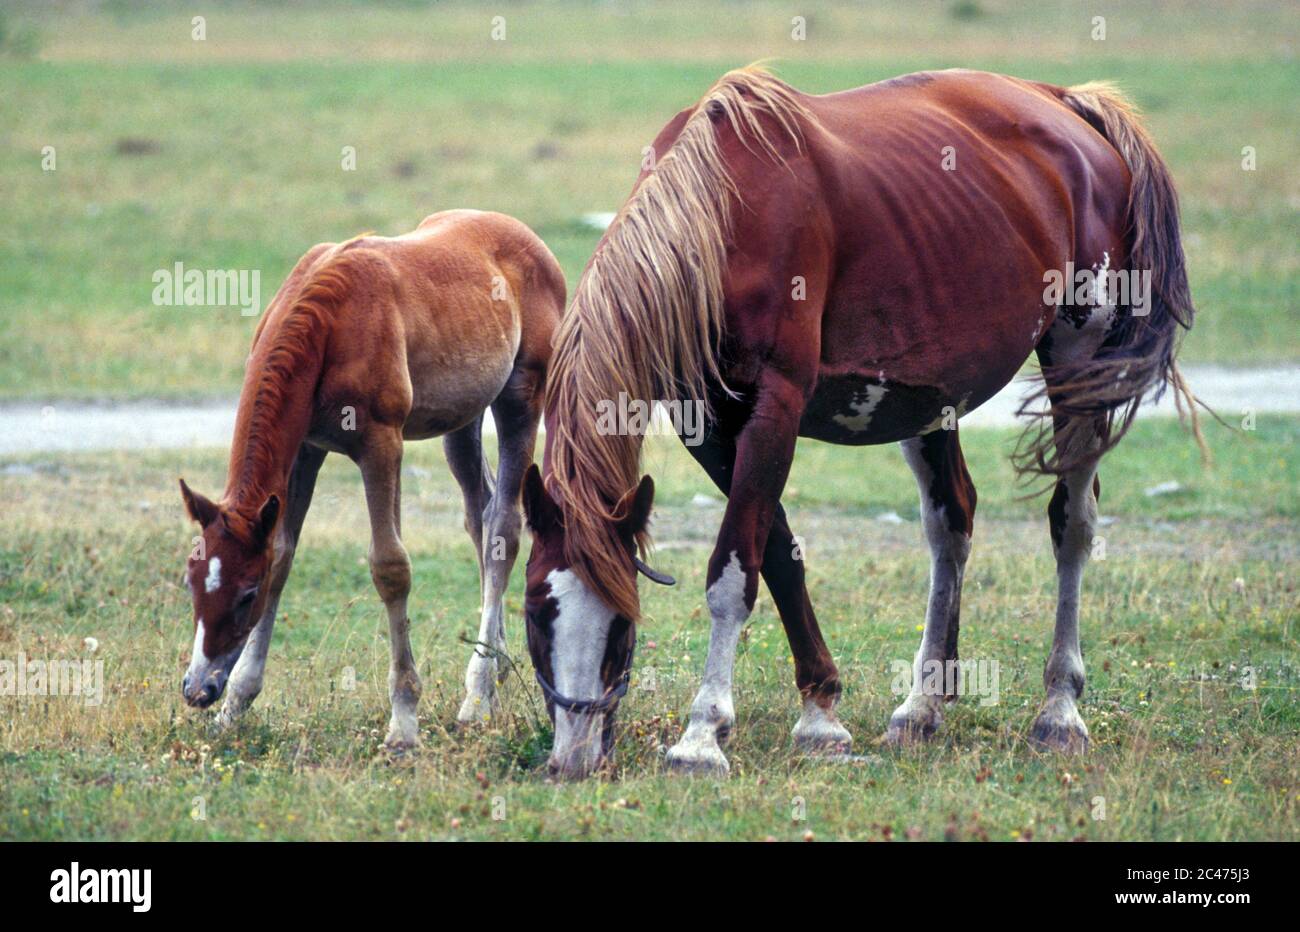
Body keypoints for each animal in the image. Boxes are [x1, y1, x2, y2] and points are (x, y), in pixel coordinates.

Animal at [178, 209, 564, 748]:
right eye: (191, 582)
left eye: (246, 595)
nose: (198, 689)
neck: (327, 319)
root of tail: (529, 238)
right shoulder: (307, 449)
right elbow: (282, 554)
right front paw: (235, 705)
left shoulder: (381, 443)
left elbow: (390, 567)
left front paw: (403, 722)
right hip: (462, 418)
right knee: (480, 514)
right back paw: (497, 668)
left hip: (521, 398)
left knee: (504, 527)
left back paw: (476, 698)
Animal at [520, 66, 1196, 778]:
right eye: (536, 611)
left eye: (622, 624)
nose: (572, 758)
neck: (718, 217)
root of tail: (1064, 101)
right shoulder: (706, 422)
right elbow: (778, 555)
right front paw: (820, 715)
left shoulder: (775, 407)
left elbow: (733, 571)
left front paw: (702, 735)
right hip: (930, 396)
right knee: (951, 522)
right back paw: (922, 706)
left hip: (1077, 360)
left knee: (1073, 524)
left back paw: (1059, 710)